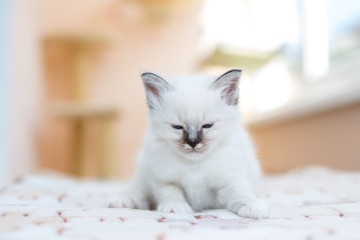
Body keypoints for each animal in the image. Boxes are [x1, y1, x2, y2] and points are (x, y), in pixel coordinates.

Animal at [108, 69, 268, 219]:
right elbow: (171, 193)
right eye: (177, 127)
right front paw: (174, 207)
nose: (193, 142)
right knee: (138, 193)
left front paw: (253, 207)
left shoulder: (230, 180)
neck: (194, 165)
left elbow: (241, 193)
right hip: (143, 173)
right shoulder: (164, 180)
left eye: (207, 126)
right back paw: (121, 201)